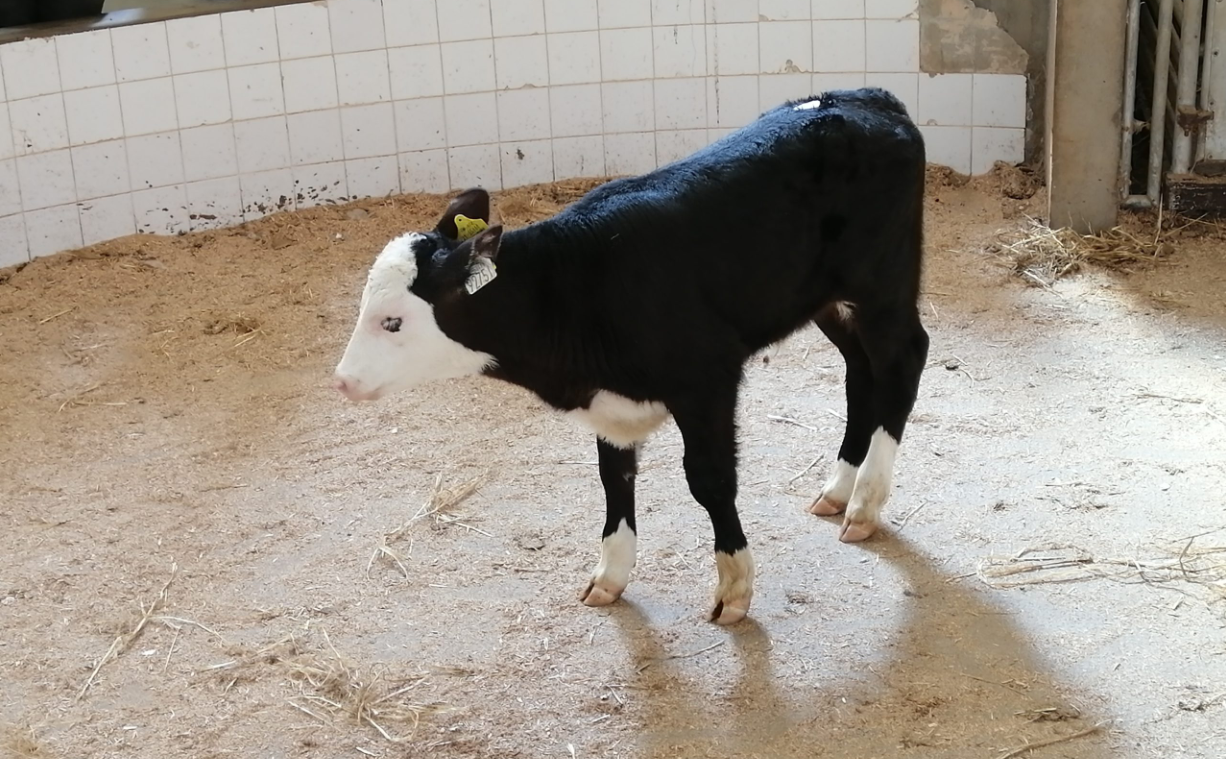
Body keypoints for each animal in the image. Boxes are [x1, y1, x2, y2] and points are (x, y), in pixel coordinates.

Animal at [334, 88, 929, 625]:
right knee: (860, 370)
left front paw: (734, 586)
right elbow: (613, 478)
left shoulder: (707, 379)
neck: (577, 289)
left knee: (902, 360)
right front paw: (611, 575)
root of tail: (866, 98)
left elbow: (710, 480)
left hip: (882, 284)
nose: (341, 380)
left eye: (392, 320)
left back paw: (865, 501)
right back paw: (839, 488)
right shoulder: (609, 402)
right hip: (827, 300)